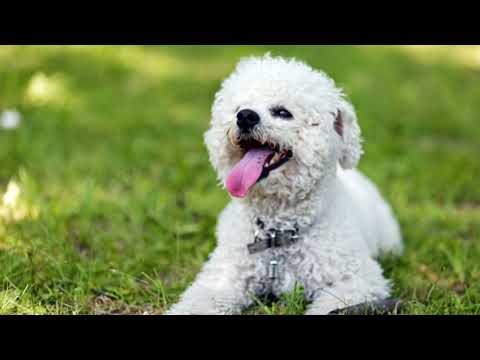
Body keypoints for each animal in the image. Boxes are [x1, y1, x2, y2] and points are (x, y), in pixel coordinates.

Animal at [165, 54, 402, 316]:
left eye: (282, 112)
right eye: (237, 108)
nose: (245, 116)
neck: (278, 233)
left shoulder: (359, 281)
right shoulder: (222, 278)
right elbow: (200, 301)